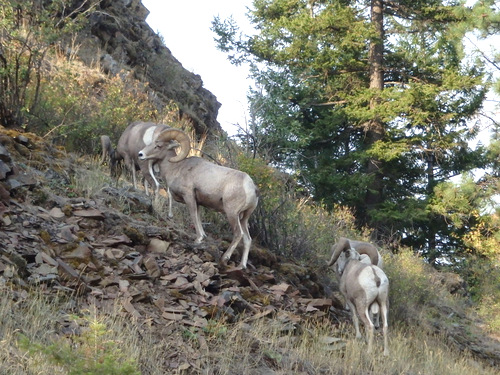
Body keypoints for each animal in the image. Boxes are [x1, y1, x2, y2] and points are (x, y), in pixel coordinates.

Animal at [139, 128, 260, 268]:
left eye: (158, 146)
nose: (140, 154)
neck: (177, 168)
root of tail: (251, 187)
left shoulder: (189, 196)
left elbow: (193, 216)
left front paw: (198, 239)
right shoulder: (198, 203)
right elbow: (198, 217)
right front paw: (203, 236)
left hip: (232, 214)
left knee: (238, 234)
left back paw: (224, 258)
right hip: (244, 217)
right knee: (247, 239)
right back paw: (242, 266)